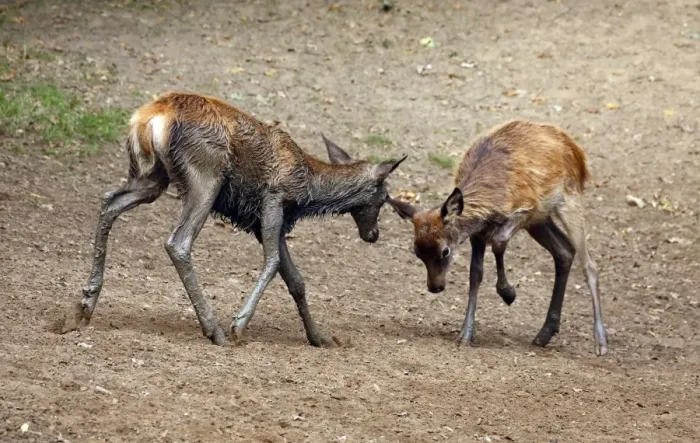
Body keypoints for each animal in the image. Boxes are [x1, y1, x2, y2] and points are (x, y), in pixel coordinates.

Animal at [61, 91, 406, 346]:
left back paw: (83, 306)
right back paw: (213, 329)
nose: (373, 234)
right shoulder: (273, 201)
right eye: (384, 198)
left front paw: (319, 337)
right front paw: (239, 324)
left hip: (149, 177)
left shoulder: (263, 222)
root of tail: (149, 119)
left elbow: (296, 280)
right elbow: (273, 263)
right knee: (178, 242)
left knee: (109, 202)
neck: (307, 188)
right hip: (205, 176)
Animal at [387, 120, 608, 356]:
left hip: (568, 200)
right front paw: (466, 333)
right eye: (416, 252)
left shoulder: (528, 209)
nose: (435, 287)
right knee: (564, 250)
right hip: (541, 221)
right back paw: (545, 333)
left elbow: (500, 241)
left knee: (590, 264)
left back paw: (601, 342)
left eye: (444, 251)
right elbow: (475, 274)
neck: (493, 202)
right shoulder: (478, 233)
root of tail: (578, 154)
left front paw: (508, 293)